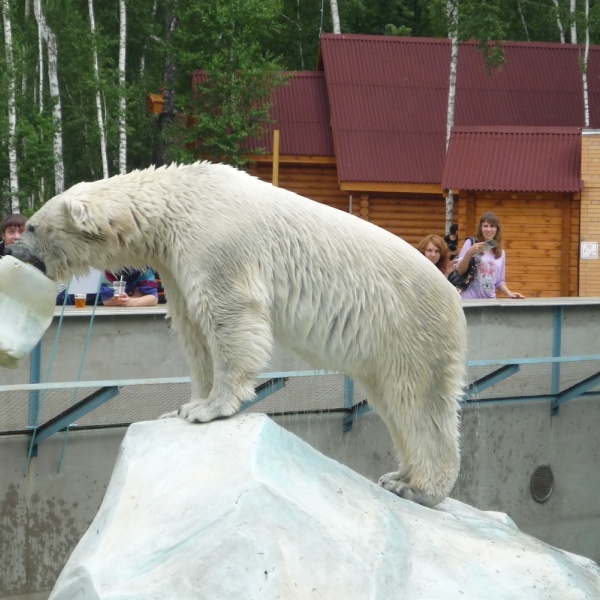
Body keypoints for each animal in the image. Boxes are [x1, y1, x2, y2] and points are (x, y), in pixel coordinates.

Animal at [10, 163, 468, 506]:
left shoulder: (216, 244)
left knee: (418, 402)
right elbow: (193, 330)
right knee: (392, 403)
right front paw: (186, 405)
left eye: (31, 226)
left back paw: (417, 488)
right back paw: (398, 474)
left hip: (409, 329)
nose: (11, 250)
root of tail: (453, 299)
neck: (176, 202)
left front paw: (210, 409)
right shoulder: (175, 263)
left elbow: (229, 317)